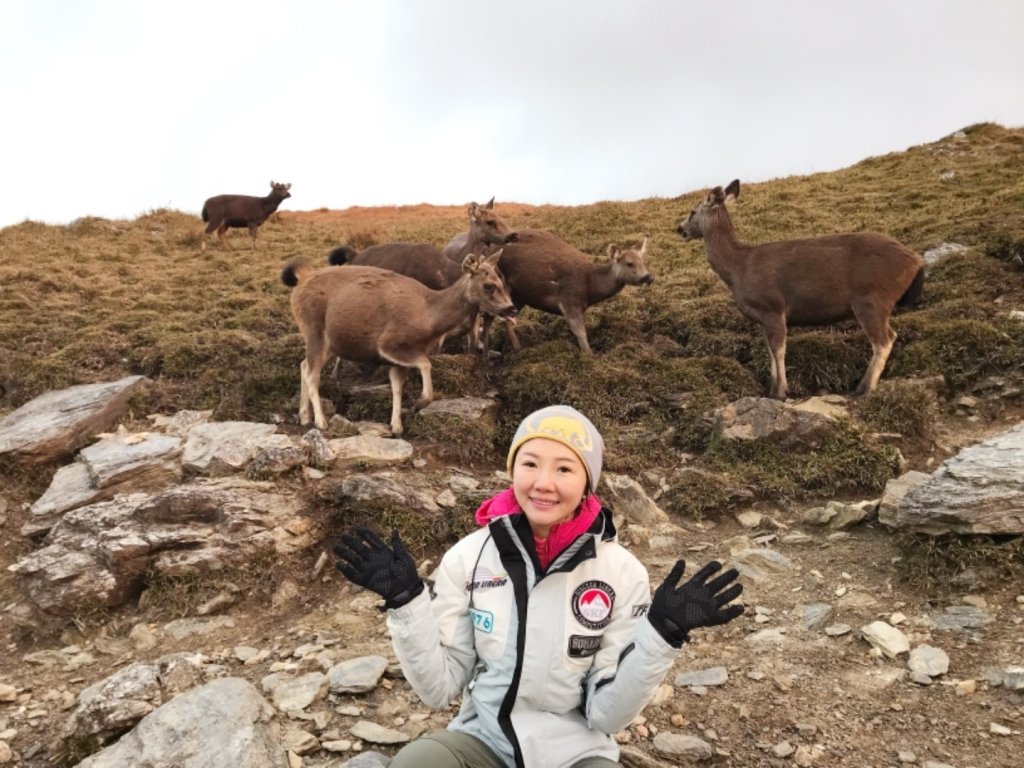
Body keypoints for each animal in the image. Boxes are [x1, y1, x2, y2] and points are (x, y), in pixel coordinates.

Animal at [280, 250, 516, 434]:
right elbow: (425, 365)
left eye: (502, 281)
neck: (429, 317)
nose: (511, 309)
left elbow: (397, 386)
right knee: (312, 373)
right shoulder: (390, 343)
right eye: (488, 285)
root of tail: (301, 281)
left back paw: (304, 416)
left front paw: (396, 425)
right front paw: (419, 402)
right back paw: (320, 421)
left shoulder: (398, 358)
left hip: (331, 343)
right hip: (314, 329)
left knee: (304, 365)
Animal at [481, 233, 655, 356]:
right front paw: (590, 356)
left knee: (503, 318)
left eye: (643, 261)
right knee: (488, 316)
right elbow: (581, 332)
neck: (590, 287)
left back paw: (514, 348)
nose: (649, 277)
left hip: (519, 295)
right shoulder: (569, 299)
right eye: (629, 263)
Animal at [675, 178, 925, 399]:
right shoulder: (764, 317)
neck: (739, 268)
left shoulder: (772, 305)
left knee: (883, 341)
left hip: (871, 297)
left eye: (692, 211)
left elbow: (779, 350)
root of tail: (917, 261)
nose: (679, 228)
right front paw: (773, 389)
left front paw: (781, 392)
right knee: (890, 335)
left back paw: (865, 389)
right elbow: (770, 350)